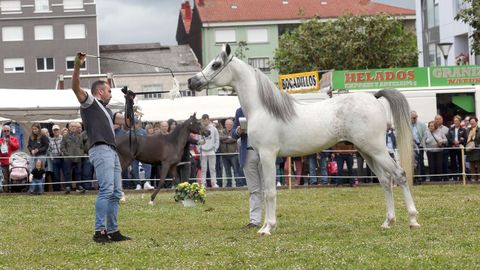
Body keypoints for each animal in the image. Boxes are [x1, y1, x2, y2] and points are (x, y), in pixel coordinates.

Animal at [188, 43, 420, 234]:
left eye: (216, 64)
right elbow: (264, 192)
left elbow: (270, 192)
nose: (192, 81)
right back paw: (388, 222)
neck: (263, 109)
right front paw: (264, 225)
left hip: (376, 150)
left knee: (399, 175)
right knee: (385, 181)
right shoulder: (262, 158)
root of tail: (373, 97)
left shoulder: (268, 156)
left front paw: (267, 228)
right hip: (366, 152)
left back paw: (413, 220)